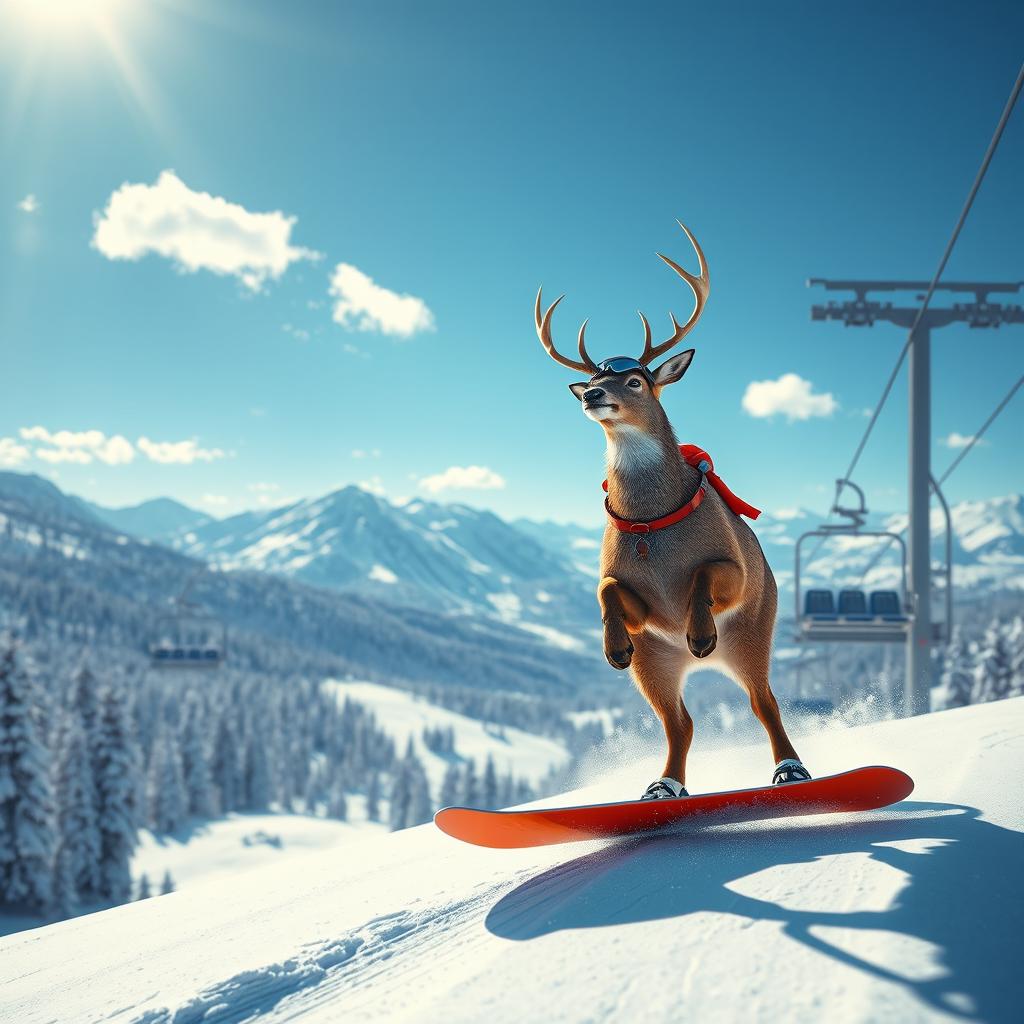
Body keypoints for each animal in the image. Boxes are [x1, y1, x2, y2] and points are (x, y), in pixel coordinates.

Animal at [534, 220, 810, 800]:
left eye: (635, 380)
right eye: (596, 381)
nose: (591, 394)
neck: (650, 523)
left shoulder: (734, 572)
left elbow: (705, 573)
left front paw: (700, 630)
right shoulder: (640, 604)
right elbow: (606, 588)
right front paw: (613, 648)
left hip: (754, 632)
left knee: (765, 703)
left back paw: (789, 769)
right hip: (656, 663)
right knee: (680, 721)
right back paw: (663, 787)